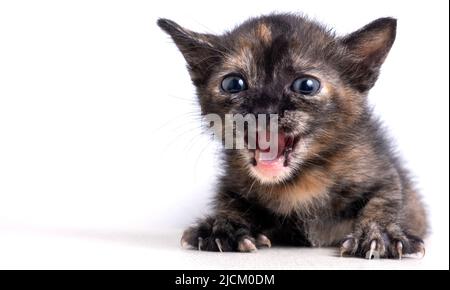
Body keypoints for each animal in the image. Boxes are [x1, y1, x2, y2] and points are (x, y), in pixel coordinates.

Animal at [158, 13, 428, 258]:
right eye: (233, 83)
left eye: (306, 86)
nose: (263, 110)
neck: (298, 182)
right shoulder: (230, 185)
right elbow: (230, 203)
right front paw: (223, 227)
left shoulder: (387, 173)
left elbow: (385, 197)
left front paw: (379, 232)